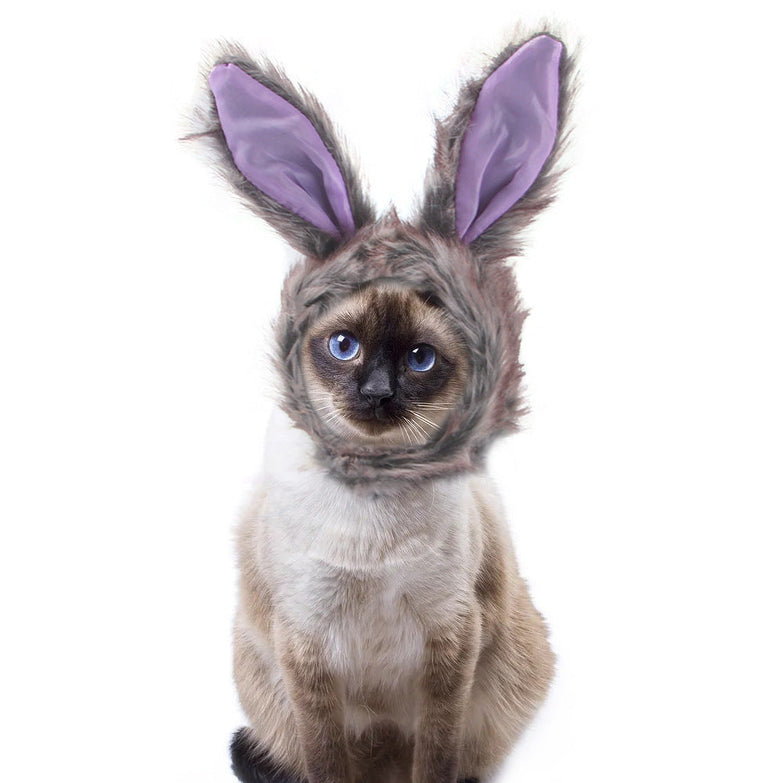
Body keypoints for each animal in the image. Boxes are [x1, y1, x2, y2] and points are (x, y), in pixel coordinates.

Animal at [187, 26, 572, 783]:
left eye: (419, 359)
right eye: (344, 346)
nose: (376, 393)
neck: (373, 504)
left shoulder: (450, 640)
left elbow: (436, 752)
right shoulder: (306, 648)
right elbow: (324, 756)